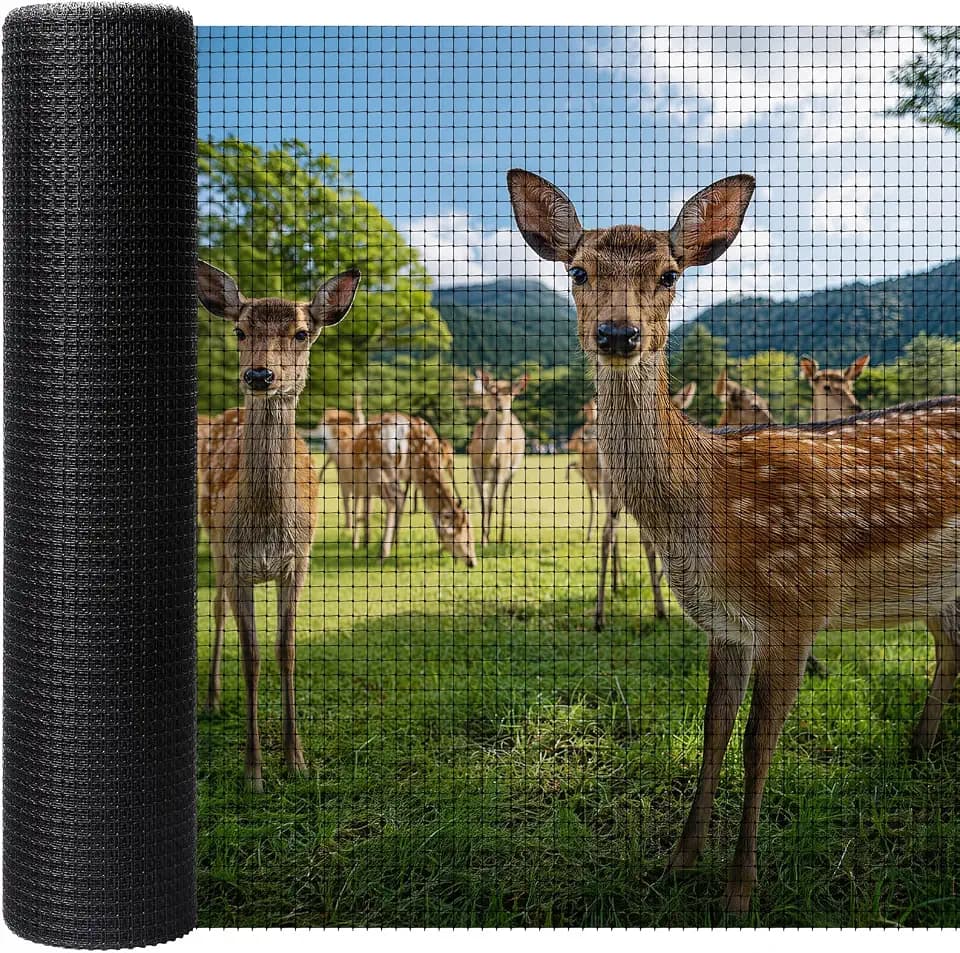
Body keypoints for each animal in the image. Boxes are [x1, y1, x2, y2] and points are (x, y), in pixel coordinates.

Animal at [196, 260, 361, 791]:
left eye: (302, 333)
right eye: (239, 330)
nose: (259, 374)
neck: (267, 526)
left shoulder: (298, 562)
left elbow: (286, 650)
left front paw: (296, 760)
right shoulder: (239, 563)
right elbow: (251, 654)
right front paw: (253, 772)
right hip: (214, 542)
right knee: (215, 608)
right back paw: (211, 699)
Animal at [352, 413, 477, 566]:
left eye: (471, 535)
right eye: (462, 535)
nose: (472, 562)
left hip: (379, 468)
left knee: (395, 498)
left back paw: (382, 554)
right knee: (397, 498)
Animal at [467, 370, 529, 545]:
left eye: (512, 394)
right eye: (492, 392)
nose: (502, 408)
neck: (487, 457)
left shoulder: (501, 468)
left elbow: (491, 504)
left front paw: (486, 539)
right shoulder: (475, 470)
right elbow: (483, 504)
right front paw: (484, 540)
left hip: (513, 468)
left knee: (503, 499)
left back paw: (501, 538)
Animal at [508, 168, 960, 914]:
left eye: (669, 273)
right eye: (578, 269)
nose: (618, 333)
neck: (708, 503)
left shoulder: (794, 608)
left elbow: (758, 743)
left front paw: (740, 887)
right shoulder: (725, 625)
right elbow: (713, 730)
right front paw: (680, 858)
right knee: (950, 647)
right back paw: (920, 746)